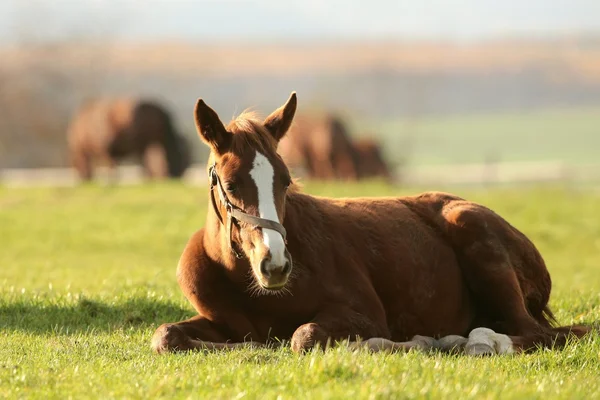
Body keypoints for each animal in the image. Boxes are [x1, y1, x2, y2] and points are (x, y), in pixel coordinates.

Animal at [151, 92, 592, 354]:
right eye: (229, 184)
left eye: (286, 180)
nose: (274, 265)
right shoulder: (221, 322)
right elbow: (165, 336)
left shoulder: (363, 314)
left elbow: (302, 336)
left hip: (477, 239)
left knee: (536, 334)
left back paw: (468, 342)